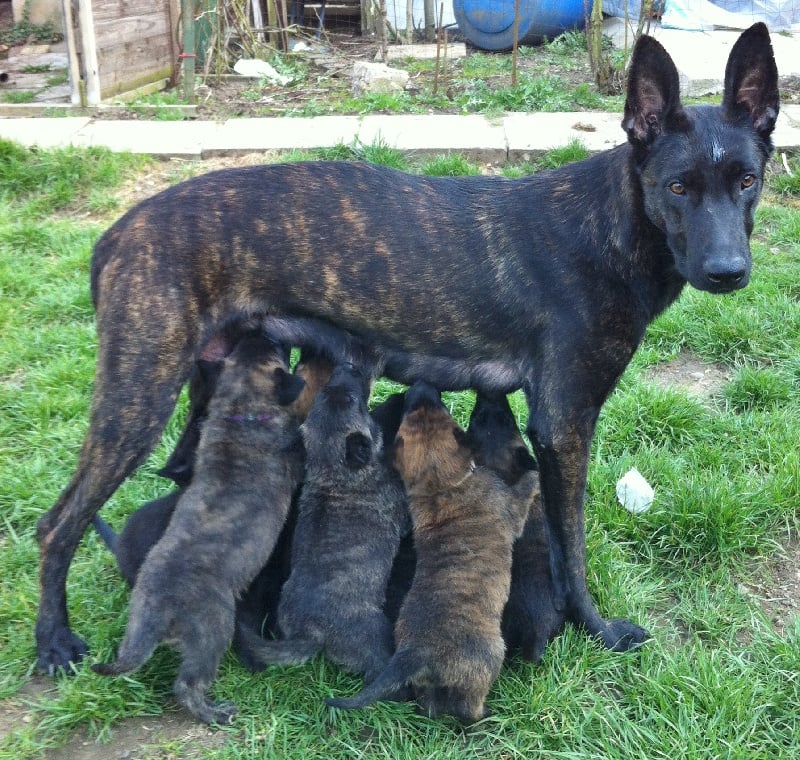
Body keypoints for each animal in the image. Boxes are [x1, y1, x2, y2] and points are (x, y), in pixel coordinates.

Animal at [92, 332, 306, 724]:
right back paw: (214, 712)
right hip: (214, 628)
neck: (241, 410)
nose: (266, 332)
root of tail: (158, 613)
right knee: (188, 685)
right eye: (278, 352)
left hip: (137, 619)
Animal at [236, 364, 412, 684]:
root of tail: (312, 632)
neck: (332, 469)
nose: (348, 366)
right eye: (355, 401)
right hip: (375, 635)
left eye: (327, 392)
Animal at [328, 382, 540, 720]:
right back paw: (487, 715)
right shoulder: (512, 507)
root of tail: (414, 653)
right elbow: (525, 487)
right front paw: (534, 474)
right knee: (467, 709)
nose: (419, 385)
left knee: (429, 706)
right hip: (489, 659)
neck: (441, 485)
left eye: (415, 413)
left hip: (426, 682)